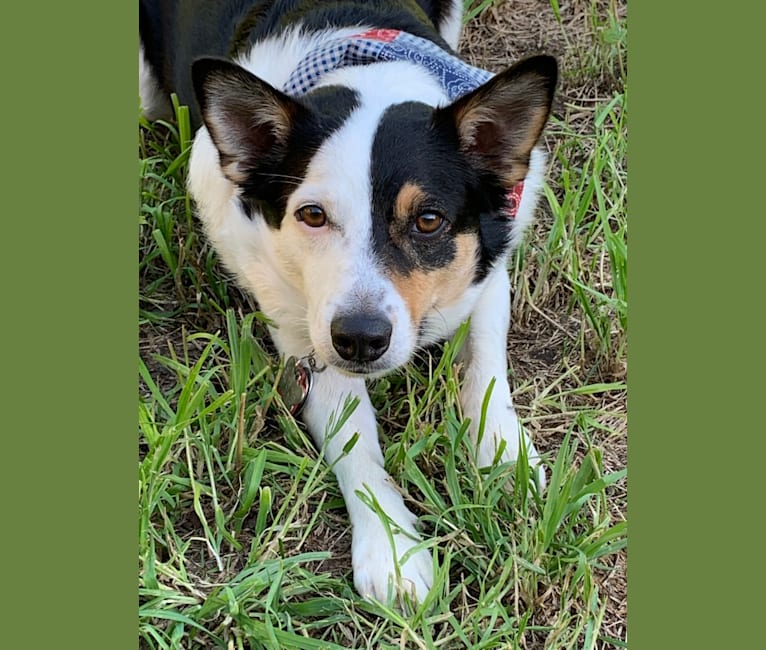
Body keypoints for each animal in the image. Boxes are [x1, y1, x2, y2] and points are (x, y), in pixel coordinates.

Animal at [138, 0, 560, 604]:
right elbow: (355, 442)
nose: (360, 339)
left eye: (428, 220)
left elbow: (485, 367)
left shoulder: (488, 267)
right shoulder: (308, 340)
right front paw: (392, 548)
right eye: (312, 215)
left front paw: (505, 456)